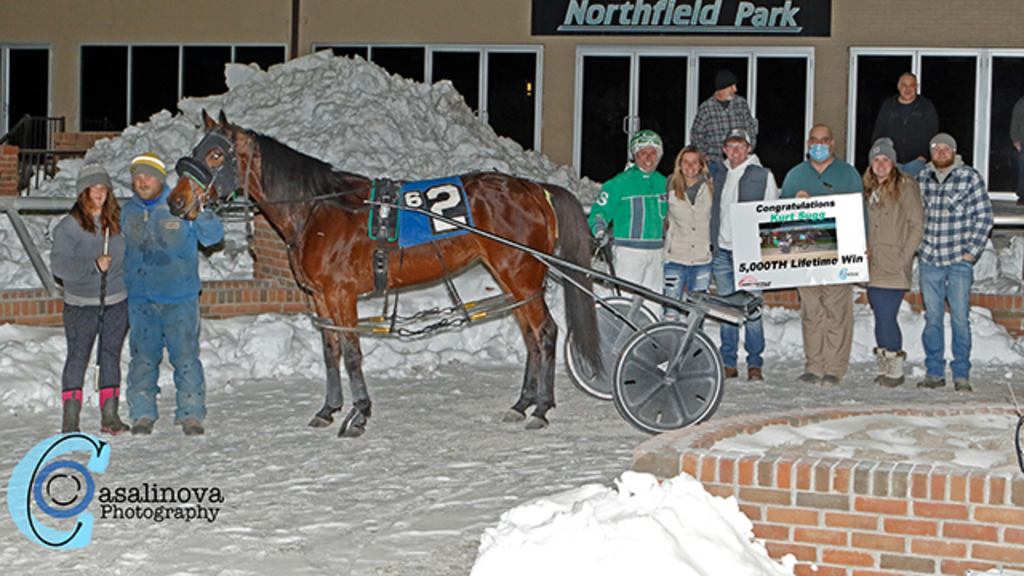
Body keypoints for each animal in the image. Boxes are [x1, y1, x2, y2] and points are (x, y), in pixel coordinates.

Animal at [166, 112, 598, 434]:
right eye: (195, 150)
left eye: (216, 155)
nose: (176, 201)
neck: (319, 209)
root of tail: (532, 188)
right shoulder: (320, 297)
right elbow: (331, 352)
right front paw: (329, 409)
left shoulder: (341, 294)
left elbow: (352, 354)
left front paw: (358, 414)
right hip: (514, 280)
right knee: (531, 337)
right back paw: (523, 403)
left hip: (521, 276)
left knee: (545, 332)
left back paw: (541, 408)